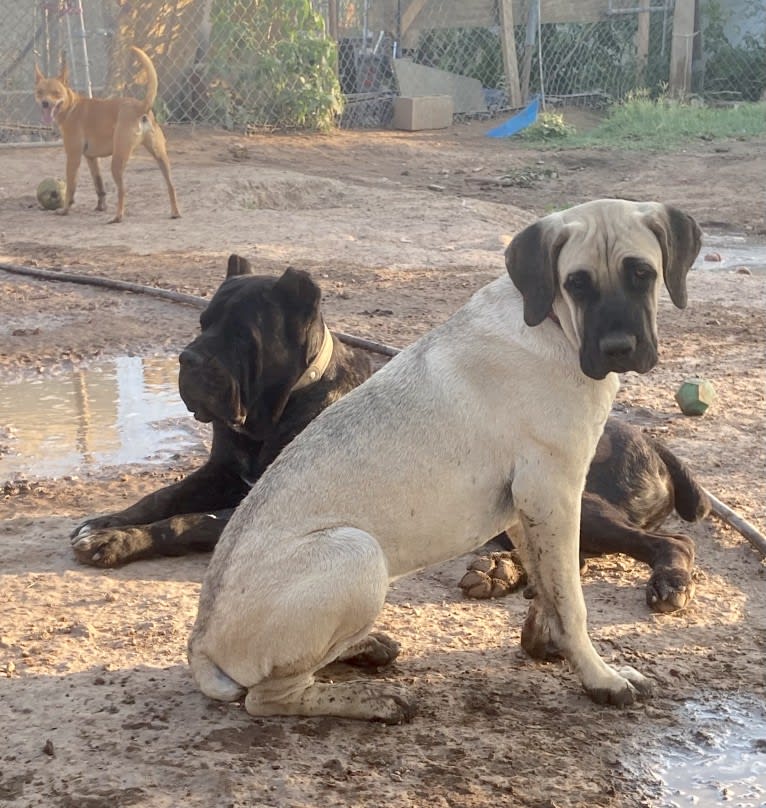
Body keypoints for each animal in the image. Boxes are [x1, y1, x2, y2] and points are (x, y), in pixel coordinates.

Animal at [35, 45, 182, 223]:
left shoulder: (73, 157)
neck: (71, 107)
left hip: (117, 161)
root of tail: (140, 106)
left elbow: (70, 187)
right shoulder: (91, 158)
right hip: (161, 158)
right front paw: (101, 207)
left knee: (122, 190)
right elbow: (99, 185)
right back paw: (175, 212)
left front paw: (65, 210)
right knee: (171, 186)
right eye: (40, 92)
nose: (45, 103)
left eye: (56, 92)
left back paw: (118, 216)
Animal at [188, 199, 704, 724]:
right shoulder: (554, 493)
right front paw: (600, 676)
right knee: (270, 696)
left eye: (642, 273)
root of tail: (201, 647)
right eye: (576, 283)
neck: (552, 323)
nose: (619, 348)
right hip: (357, 553)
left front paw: (549, 643)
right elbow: (571, 600)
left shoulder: (529, 507)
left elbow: (548, 585)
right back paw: (371, 700)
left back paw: (364, 647)